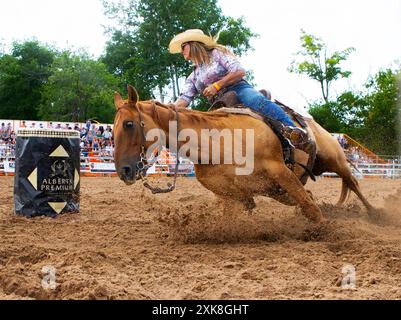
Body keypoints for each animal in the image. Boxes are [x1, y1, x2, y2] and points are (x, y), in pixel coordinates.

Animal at [112, 85, 376, 225]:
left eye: (129, 124)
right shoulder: (232, 194)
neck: (217, 145)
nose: (124, 170)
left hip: (334, 159)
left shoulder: (279, 170)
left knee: (352, 183)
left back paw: (376, 214)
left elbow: (311, 208)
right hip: (281, 188)